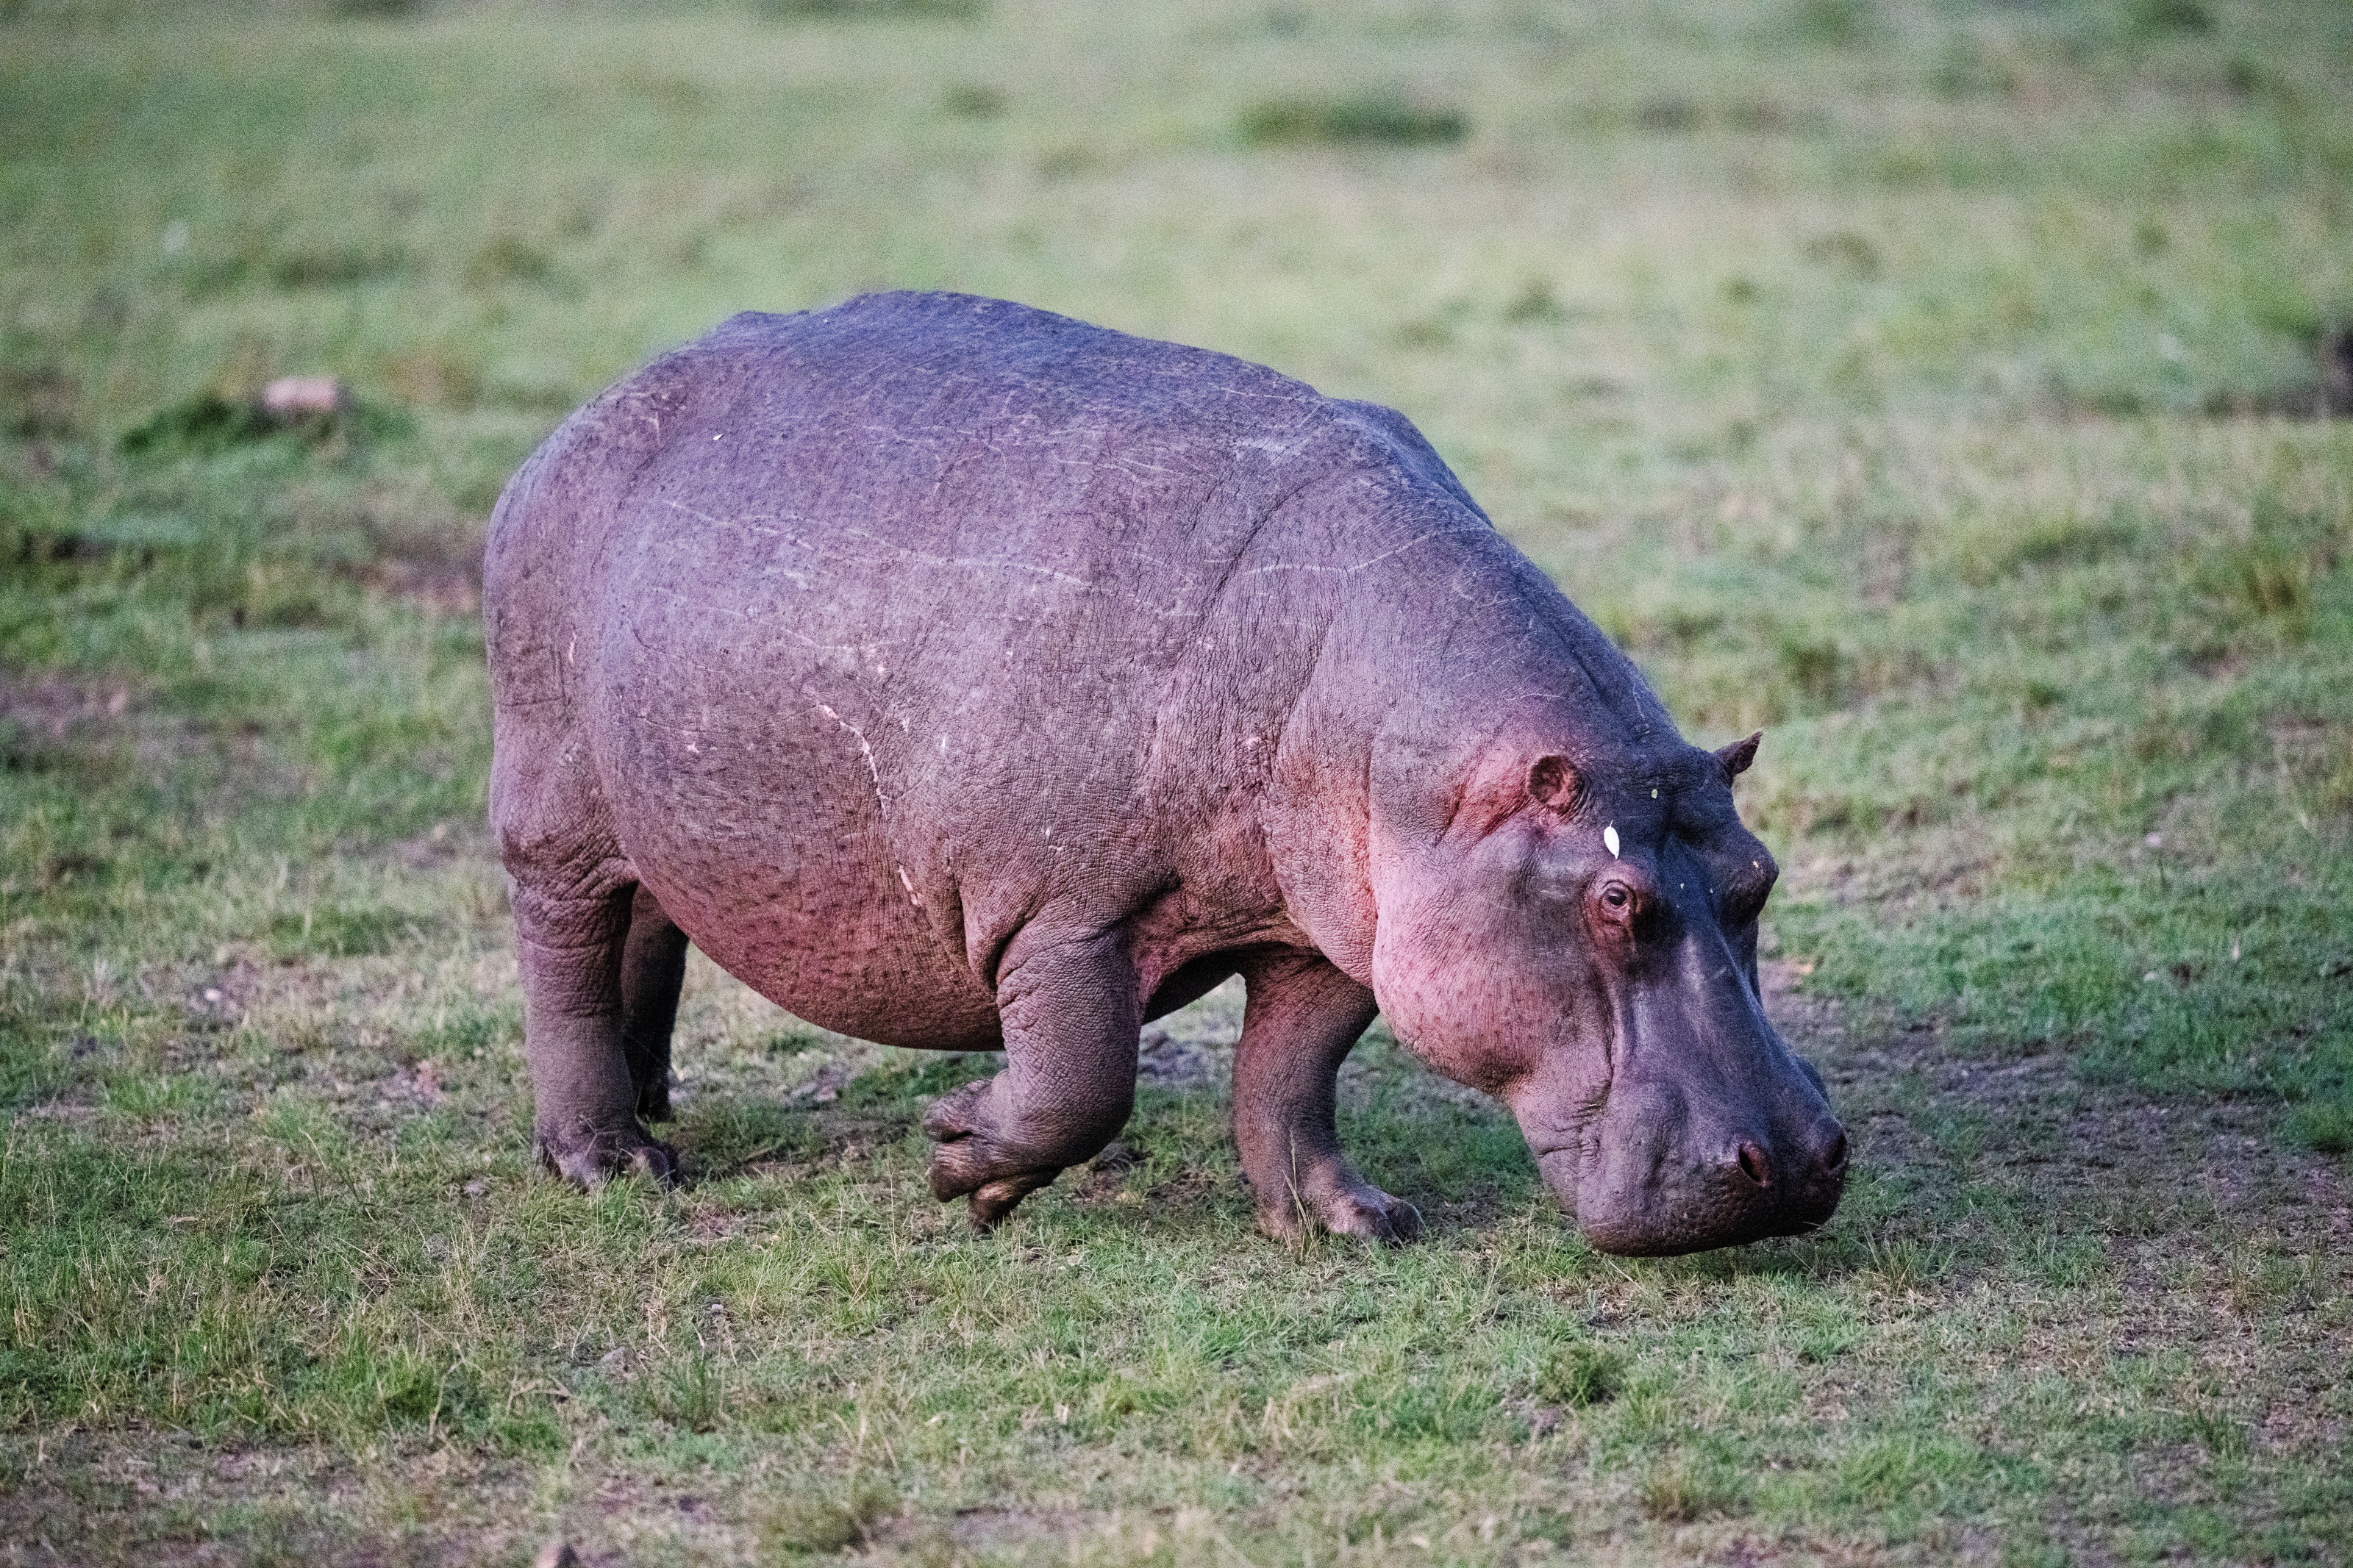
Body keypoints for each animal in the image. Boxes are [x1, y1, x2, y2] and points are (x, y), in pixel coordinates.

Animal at [484, 291, 1846, 1256]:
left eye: (1759, 873)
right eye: (1616, 900)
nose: (1798, 1160)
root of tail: (577, 420)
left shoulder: (1330, 932)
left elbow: (1290, 1079)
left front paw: (1357, 1223)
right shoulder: (1059, 913)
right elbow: (1084, 1084)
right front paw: (963, 1158)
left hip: (660, 808)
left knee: (649, 926)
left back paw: (655, 1102)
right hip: (552, 805)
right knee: (564, 953)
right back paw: (617, 1164)